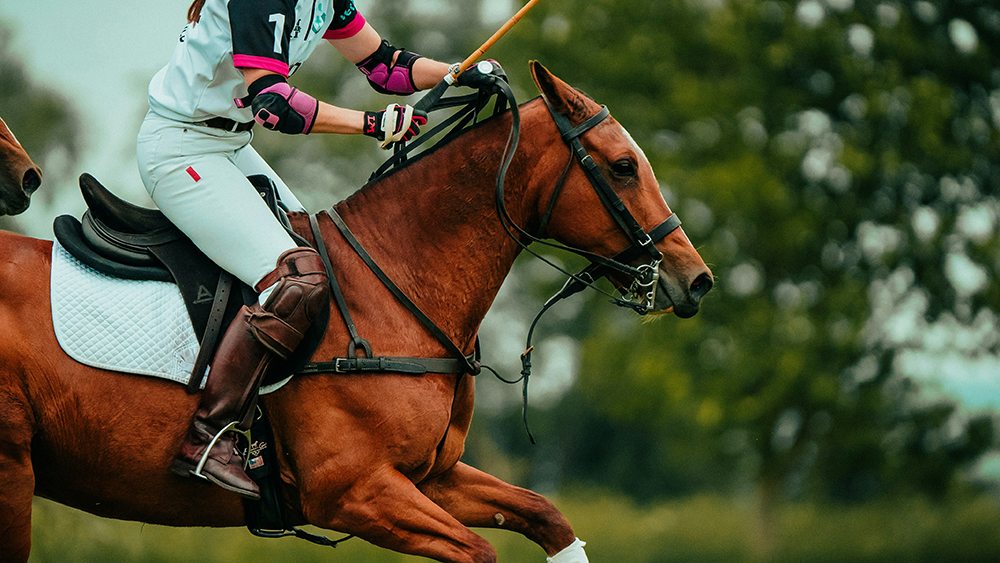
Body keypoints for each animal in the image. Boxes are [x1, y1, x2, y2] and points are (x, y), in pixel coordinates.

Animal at [0, 63, 712, 563]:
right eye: (623, 167)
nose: (696, 279)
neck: (396, 281)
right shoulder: (355, 492)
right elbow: (481, 550)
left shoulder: (431, 476)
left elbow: (547, 514)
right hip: (12, 467)